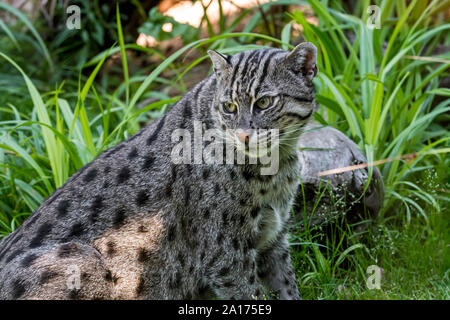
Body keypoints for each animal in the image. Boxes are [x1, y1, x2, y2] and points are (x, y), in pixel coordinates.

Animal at [0, 41, 320, 298]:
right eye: (229, 106)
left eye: (264, 102)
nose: (243, 135)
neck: (276, 165)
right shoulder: (226, 253)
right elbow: (251, 293)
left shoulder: (274, 238)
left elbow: (288, 288)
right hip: (80, 258)